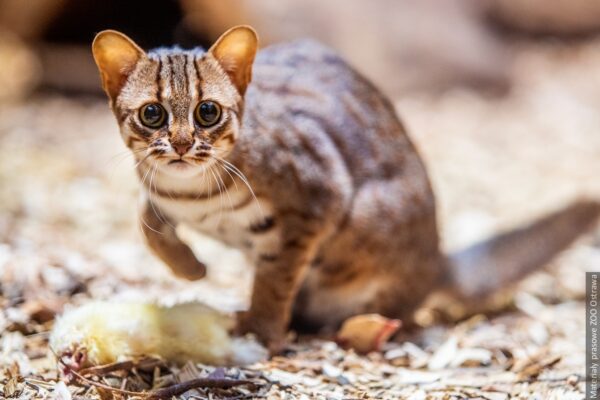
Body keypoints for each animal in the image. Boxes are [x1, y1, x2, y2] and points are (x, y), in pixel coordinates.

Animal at [92, 25, 600, 350]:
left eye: (208, 112)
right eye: (152, 113)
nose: (180, 144)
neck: (190, 194)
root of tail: (436, 261)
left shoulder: (317, 201)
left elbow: (275, 279)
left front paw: (260, 328)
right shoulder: (156, 191)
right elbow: (146, 218)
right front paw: (190, 268)